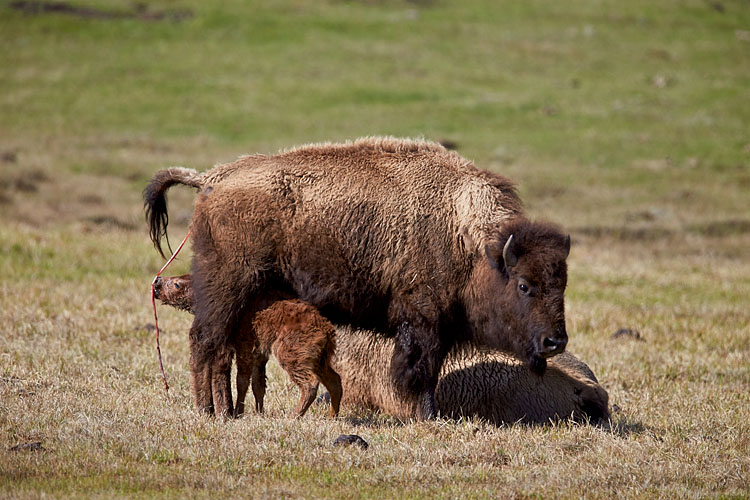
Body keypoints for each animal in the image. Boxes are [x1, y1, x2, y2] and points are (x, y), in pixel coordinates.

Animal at [156, 276, 344, 420]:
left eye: (177, 284)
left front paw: (237, 412)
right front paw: (259, 412)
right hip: (320, 357)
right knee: (335, 380)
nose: (157, 283)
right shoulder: (259, 353)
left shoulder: (243, 346)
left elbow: (241, 381)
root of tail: (327, 330)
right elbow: (258, 384)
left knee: (310, 383)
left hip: (292, 352)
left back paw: (294, 415)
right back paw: (332, 416)